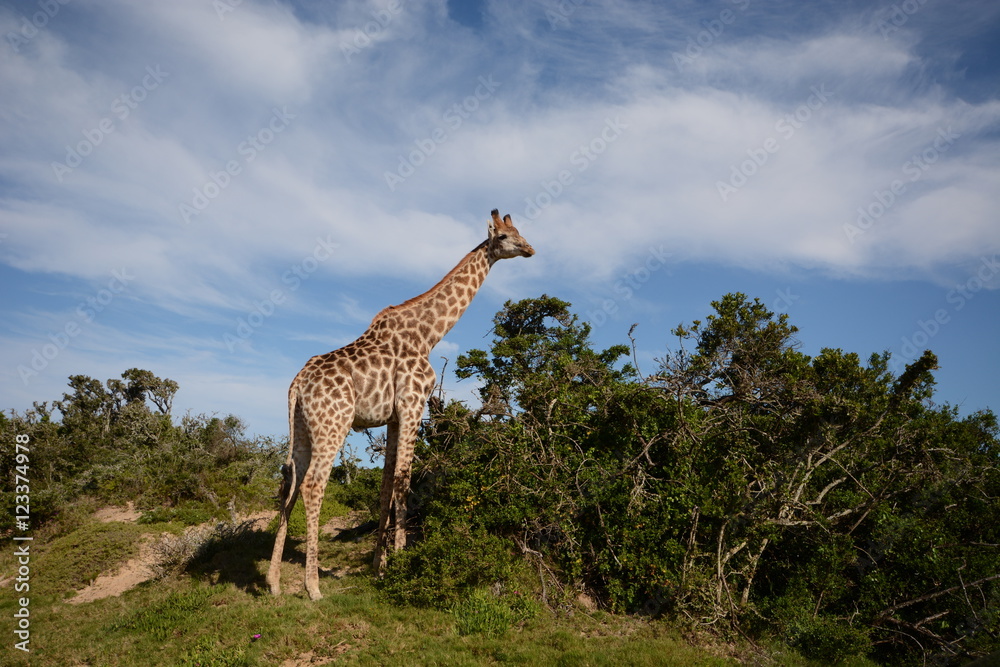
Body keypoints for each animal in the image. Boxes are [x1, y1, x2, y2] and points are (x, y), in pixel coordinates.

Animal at [267, 209, 534, 600]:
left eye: (519, 231)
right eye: (502, 237)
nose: (530, 248)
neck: (428, 335)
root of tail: (297, 384)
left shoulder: (392, 418)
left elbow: (384, 487)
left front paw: (379, 567)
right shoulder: (413, 404)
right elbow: (404, 482)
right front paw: (402, 561)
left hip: (300, 428)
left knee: (288, 483)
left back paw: (272, 582)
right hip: (333, 423)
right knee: (313, 484)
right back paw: (312, 586)